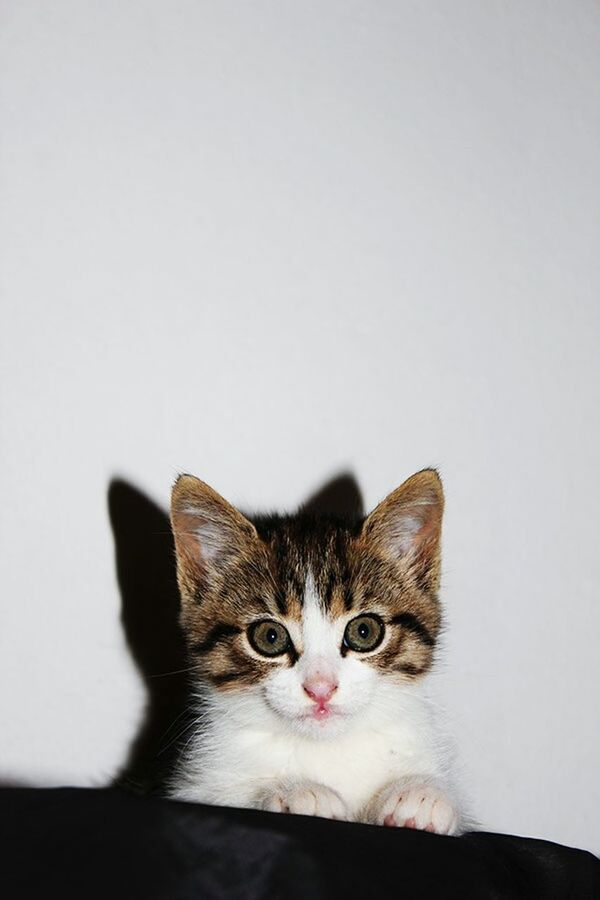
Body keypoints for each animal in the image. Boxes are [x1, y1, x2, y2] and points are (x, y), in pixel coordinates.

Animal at [169, 474, 464, 832]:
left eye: (364, 631)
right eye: (269, 636)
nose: (321, 688)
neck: (328, 746)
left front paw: (422, 793)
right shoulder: (196, 782)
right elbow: (218, 799)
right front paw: (297, 792)